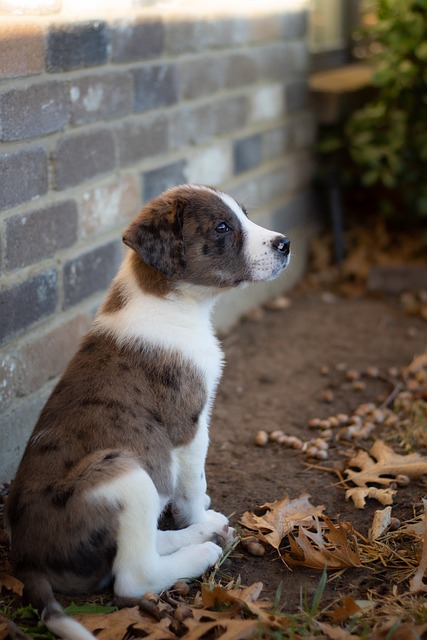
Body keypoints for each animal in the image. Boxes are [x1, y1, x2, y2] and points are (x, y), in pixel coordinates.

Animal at [5, 182, 290, 636]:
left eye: (244, 215)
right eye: (221, 227)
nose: (285, 244)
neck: (171, 301)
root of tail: (25, 562)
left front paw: (200, 516)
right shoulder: (189, 427)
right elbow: (191, 485)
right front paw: (197, 513)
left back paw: (199, 536)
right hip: (123, 472)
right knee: (132, 576)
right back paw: (200, 551)